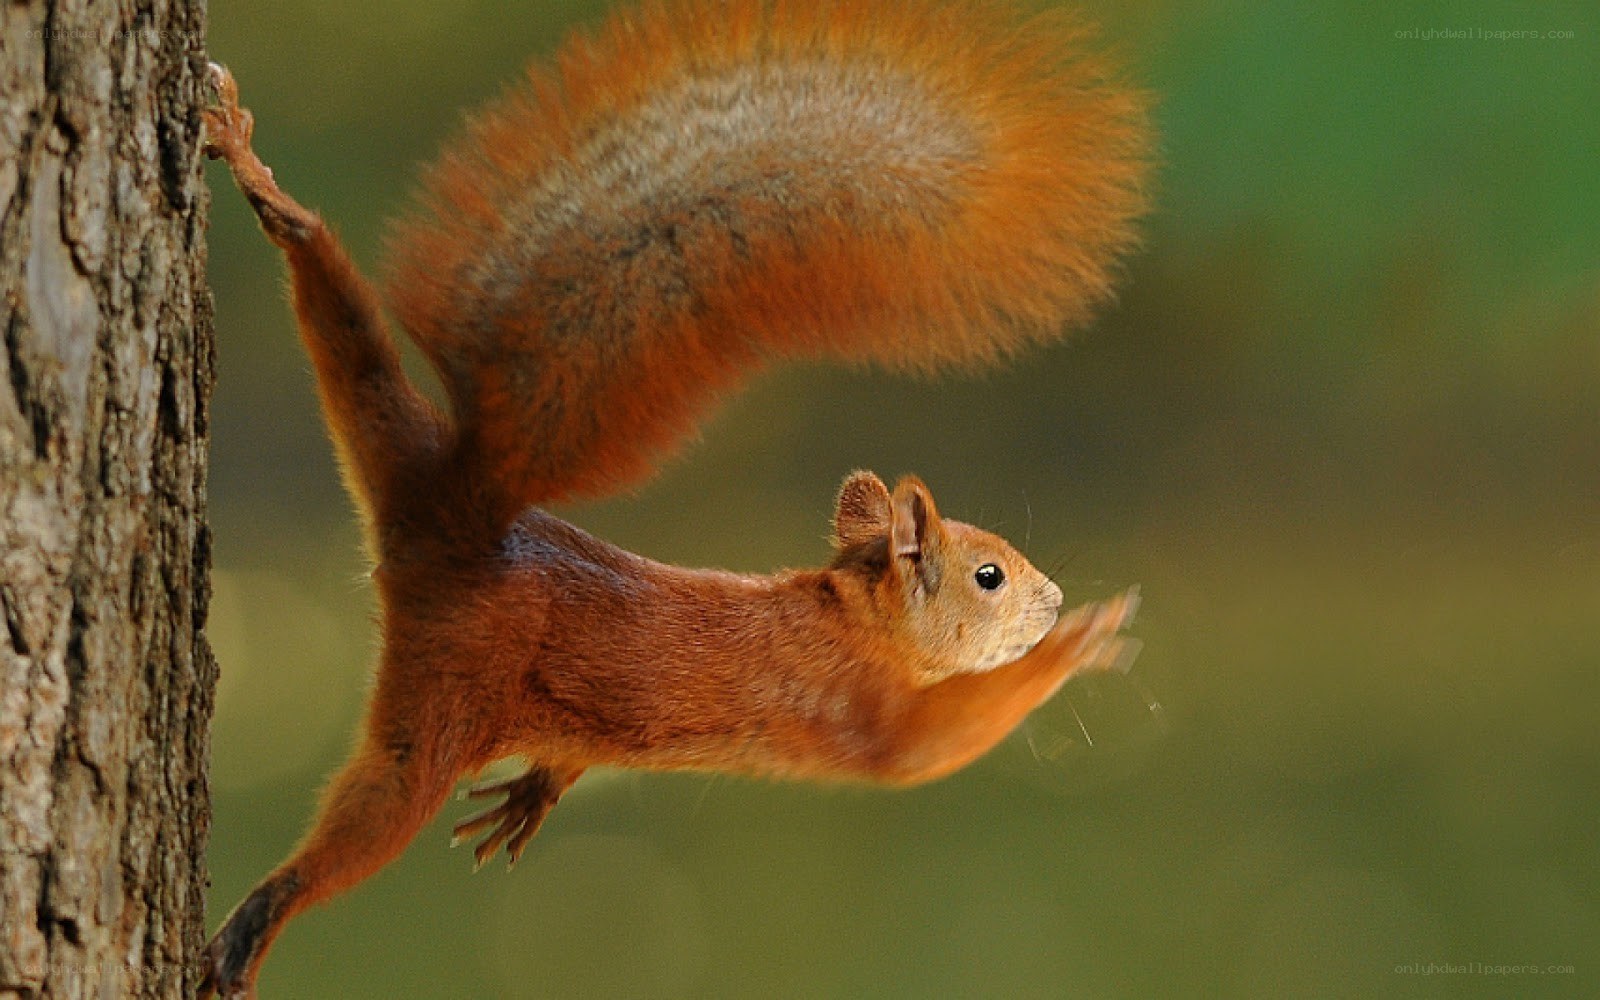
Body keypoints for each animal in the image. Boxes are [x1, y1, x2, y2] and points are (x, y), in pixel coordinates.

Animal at [197, 0, 1149, 995]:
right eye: (990, 575)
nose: (1052, 600)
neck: (854, 619)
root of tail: (460, 507)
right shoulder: (864, 712)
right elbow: (937, 743)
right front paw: (1079, 644)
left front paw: (537, 790)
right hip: (445, 696)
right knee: (370, 813)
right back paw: (259, 918)